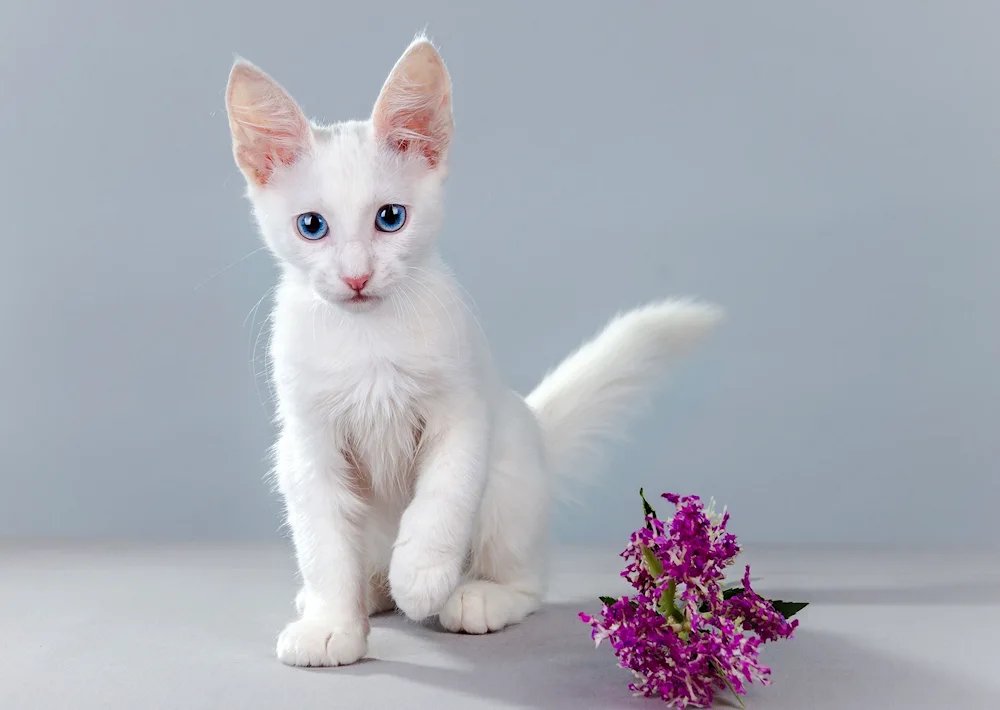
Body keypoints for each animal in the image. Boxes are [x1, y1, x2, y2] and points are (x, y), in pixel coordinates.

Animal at [226, 34, 724, 668]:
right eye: (311, 226)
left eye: (390, 218)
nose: (357, 276)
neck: (369, 342)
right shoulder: (307, 444)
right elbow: (324, 543)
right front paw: (331, 624)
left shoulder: (463, 413)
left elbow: (441, 501)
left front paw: (421, 577)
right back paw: (365, 592)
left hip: (510, 476)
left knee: (529, 581)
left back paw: (475, 595)